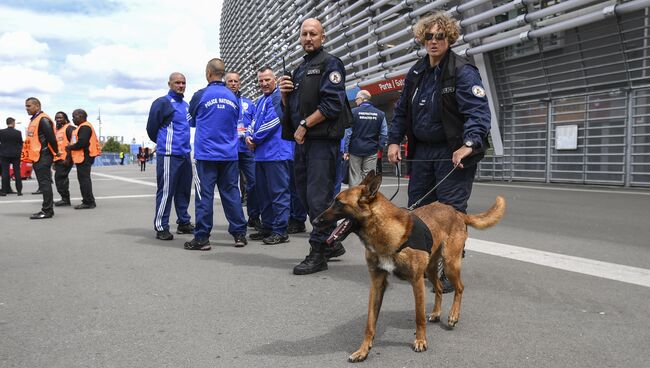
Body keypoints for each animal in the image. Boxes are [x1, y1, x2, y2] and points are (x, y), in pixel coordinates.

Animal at [312, 172, 504, 362]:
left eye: (338, 203)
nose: (314, 221)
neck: (385, 231)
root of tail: (456, 211)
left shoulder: (417, 281)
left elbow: (419, 316)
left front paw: (420, 341)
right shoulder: (377, 284)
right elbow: (370, 322)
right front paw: (363, 350)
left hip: (450, 265)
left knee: (460, 288)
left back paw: (453, 315)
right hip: (431, 269)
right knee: (439, 288)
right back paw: (436, 313)